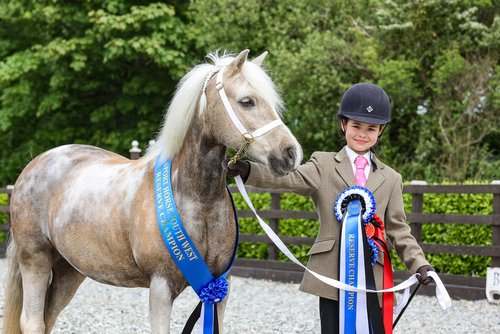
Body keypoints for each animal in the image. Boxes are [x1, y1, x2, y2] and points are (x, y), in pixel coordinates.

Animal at [3, 50, 302, 334]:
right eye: (247, 101)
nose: (291, 153)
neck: (198, 199)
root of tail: (34, 165)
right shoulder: (161, 286)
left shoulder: (220, 286)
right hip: (35, 259)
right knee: (32, 321)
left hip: (70, 269)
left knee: (48, 318)